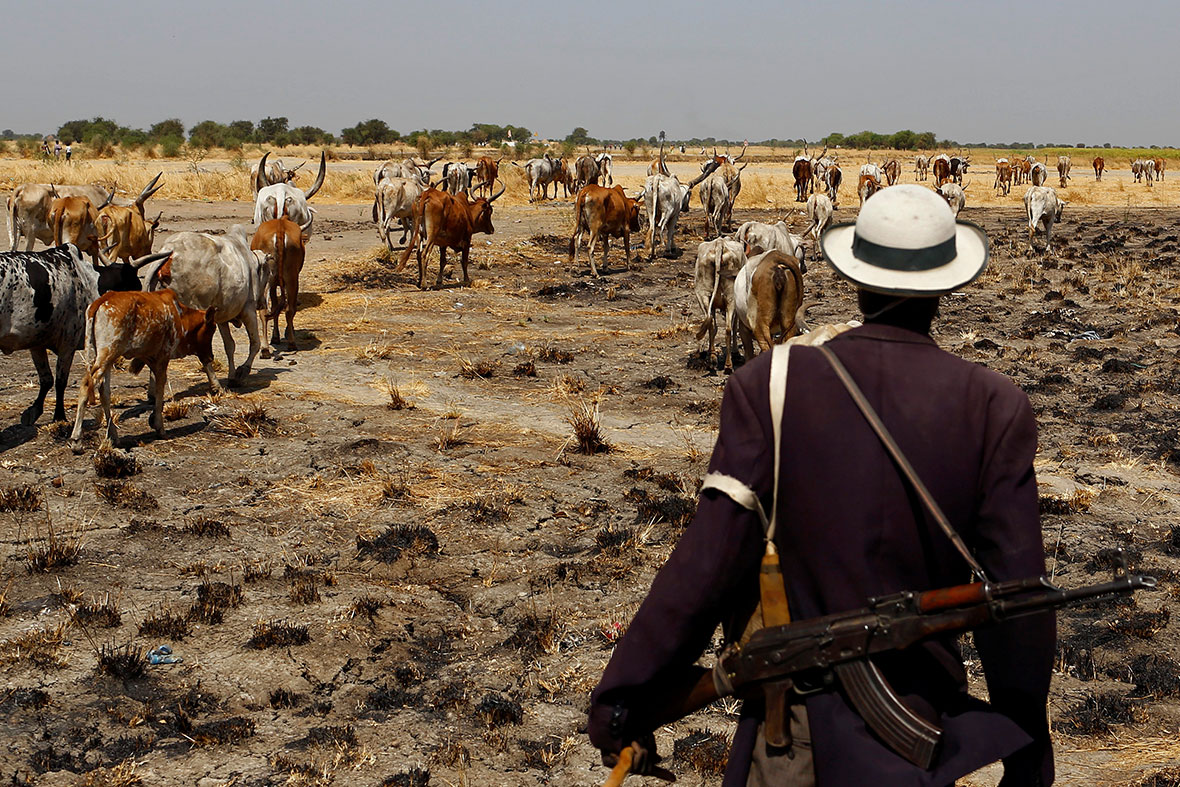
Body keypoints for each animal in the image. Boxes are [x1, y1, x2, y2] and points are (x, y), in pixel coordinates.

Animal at [0, 246, 168, 431]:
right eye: (136, 286)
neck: (87, 279)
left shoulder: (37, 343)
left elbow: (46, 380)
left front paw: (34, 411)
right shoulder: (68, 343)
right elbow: (60, 381)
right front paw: (59, 416)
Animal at [250, 217, 306, 349]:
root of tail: (280, 225)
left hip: (274, 280)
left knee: (266, 311)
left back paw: (266, 347)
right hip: (291, 279)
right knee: (288, 309)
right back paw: (290, 342)